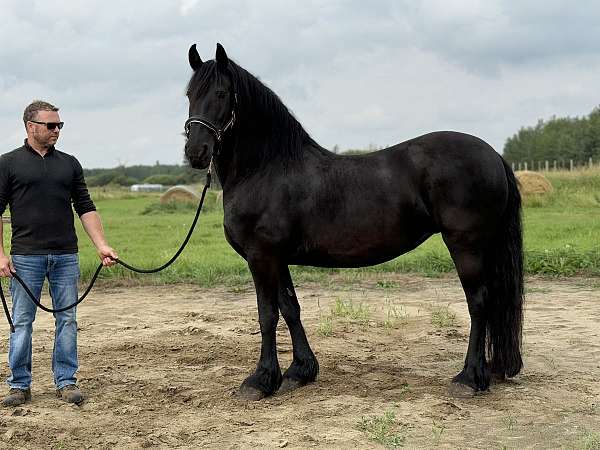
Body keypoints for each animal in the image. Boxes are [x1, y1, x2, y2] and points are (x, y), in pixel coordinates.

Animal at [185, 43, 524, 400]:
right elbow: (290, 308)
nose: (196, 152)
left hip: (466, 245)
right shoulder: (278, 258)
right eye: (190, 93)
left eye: (221, 93)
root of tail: (493, 155)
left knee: (479, 303)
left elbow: (267, 315)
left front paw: (260, 380)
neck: (267, 169)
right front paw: (300, 371)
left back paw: (469, 377)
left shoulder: (261, 256)